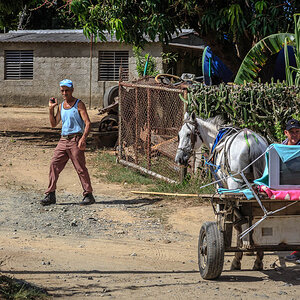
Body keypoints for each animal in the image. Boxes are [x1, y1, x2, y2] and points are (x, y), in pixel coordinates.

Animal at [175, 111, 268, 270]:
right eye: (178, 135)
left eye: (188, 134)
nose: (179, 159)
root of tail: (252, 142)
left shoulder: (220, 187)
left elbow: (225, 217)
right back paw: (258, 258)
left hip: (235, 185)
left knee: (242, 221)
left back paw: (239, 256)